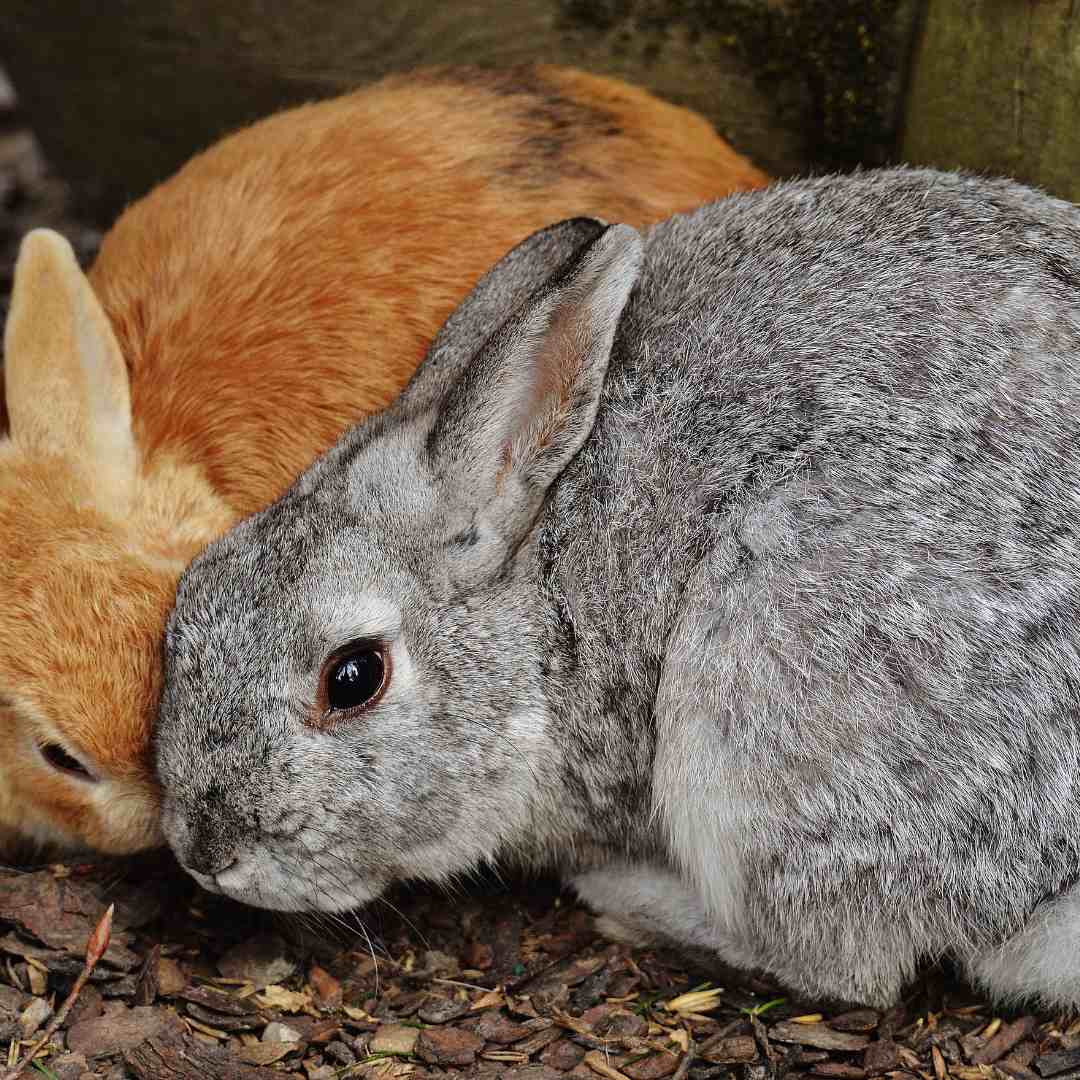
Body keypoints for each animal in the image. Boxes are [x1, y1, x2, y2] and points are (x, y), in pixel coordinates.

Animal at [156, 166, 1080, 1002]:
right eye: (191, 600)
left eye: (353, 677)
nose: (203, 850)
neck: (539, 603)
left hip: (767, 685)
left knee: (839, 961)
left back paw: (628, 897)